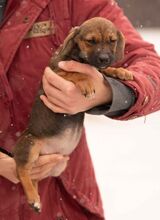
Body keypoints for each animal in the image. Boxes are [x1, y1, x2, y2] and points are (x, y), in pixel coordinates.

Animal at [13, 17, 133, 213]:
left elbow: (104, 72)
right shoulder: (56, 72)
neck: (83, 59)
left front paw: (121, 71)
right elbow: (75, 71)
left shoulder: (98, 69)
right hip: (30, 144)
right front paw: (86, 81)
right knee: (22, 170)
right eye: (90, 41)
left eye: (112, 41)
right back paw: (32, 198)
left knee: (34, 176)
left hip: (57, 164)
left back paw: (36, 199)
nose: (105, 59)